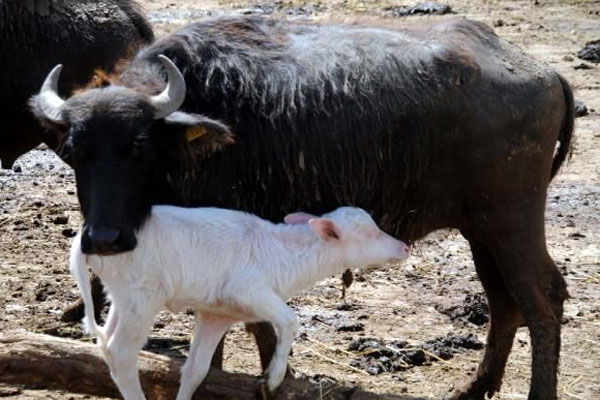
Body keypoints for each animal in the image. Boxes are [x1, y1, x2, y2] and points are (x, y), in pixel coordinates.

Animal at [69, 206, 408, 400]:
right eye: (367, 231)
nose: (404, 247)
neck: (285, 252)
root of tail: (86, 237)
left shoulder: (217, 314)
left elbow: (196, 370)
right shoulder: (249, 289)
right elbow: (290, 320)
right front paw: (272, 379)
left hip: (123, 296)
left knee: (106, 345)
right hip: (142, 296)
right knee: (121, 353)